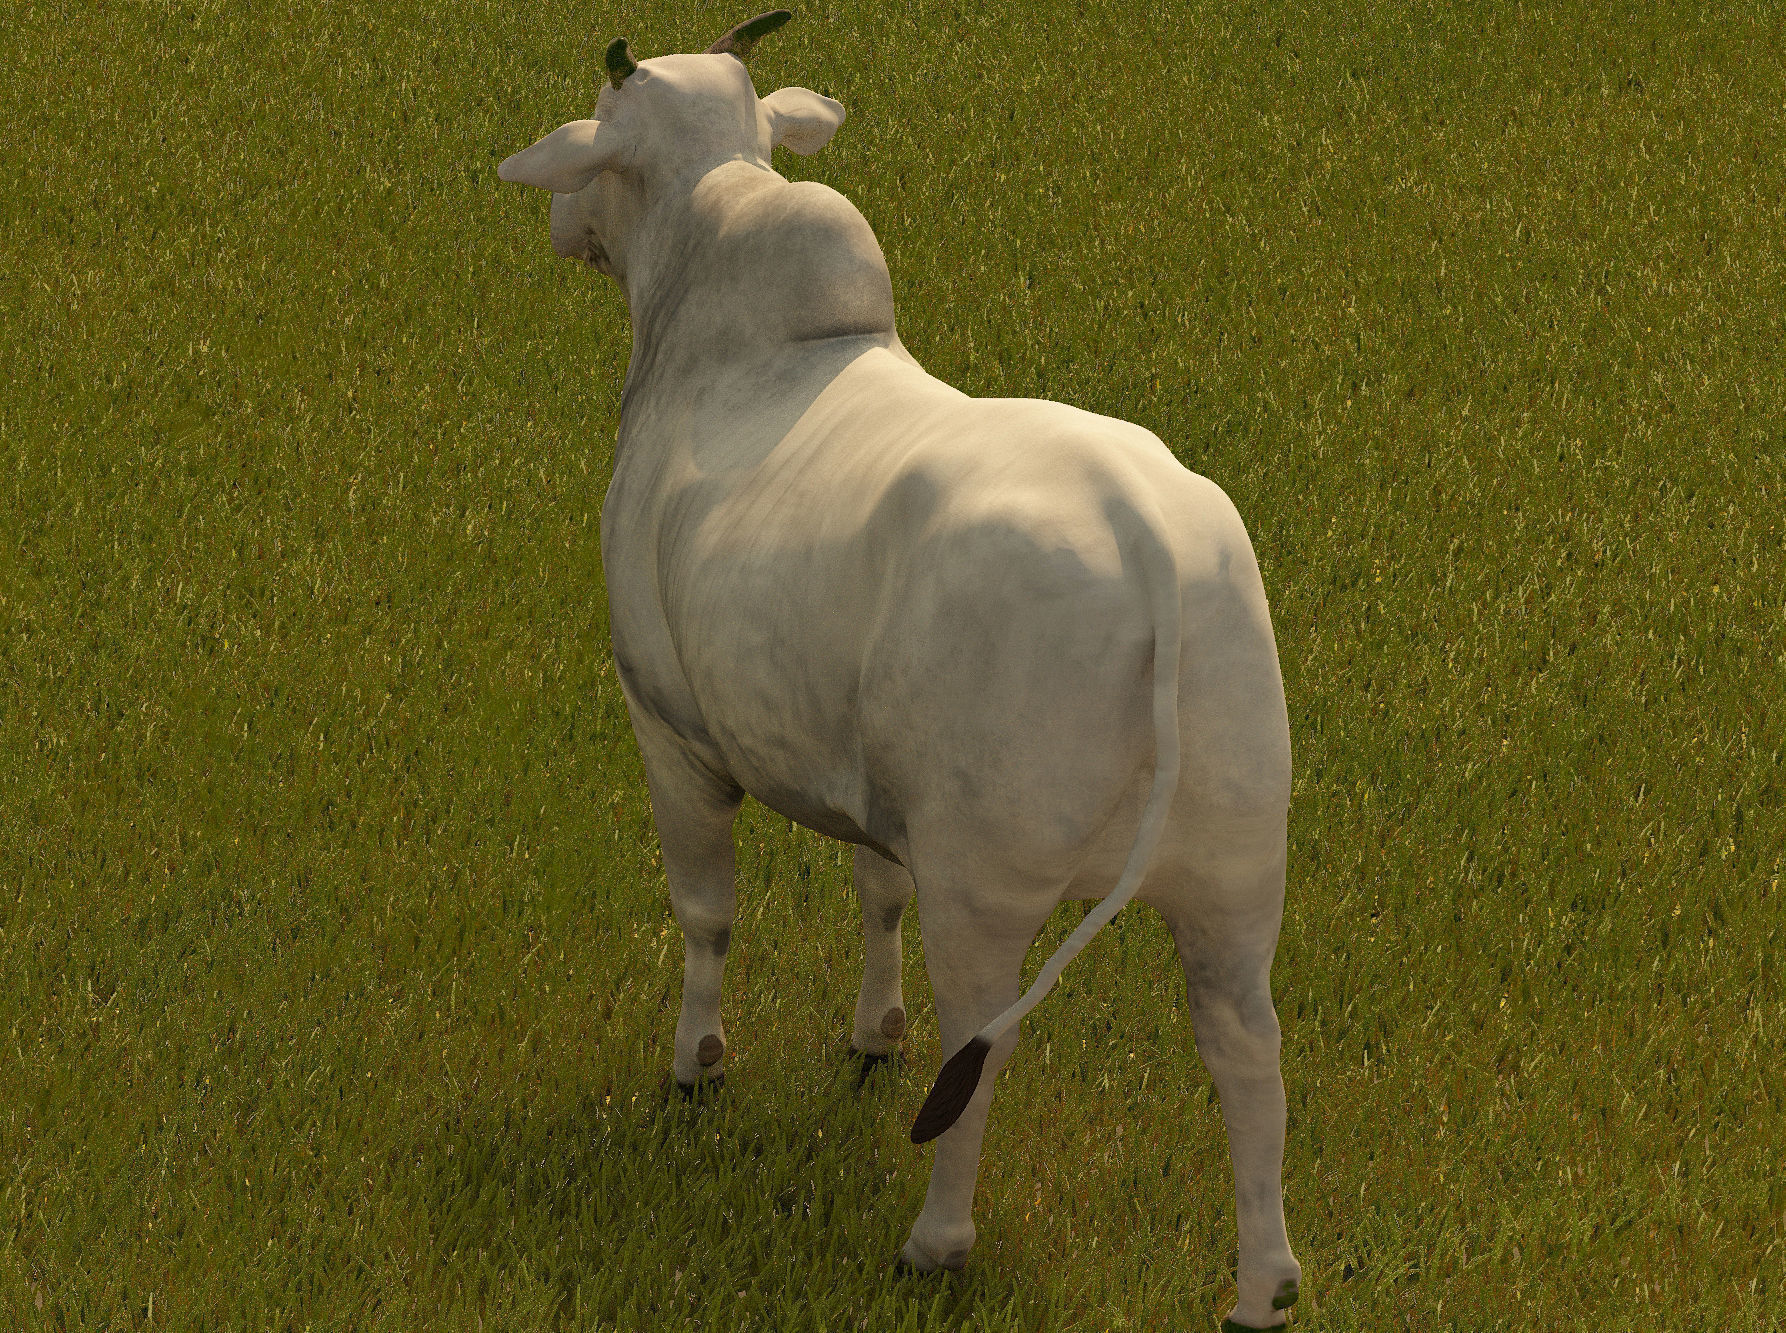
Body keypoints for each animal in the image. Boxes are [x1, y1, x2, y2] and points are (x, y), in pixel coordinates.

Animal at [498, 11, 1302, 1328]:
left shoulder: (667, 725)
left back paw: (937, 1238)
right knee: (1244, 1043)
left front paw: (697, 1063)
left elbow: (706, 912)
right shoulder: (864, 778)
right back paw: (1263, 1284)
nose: (564, 228)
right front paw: (870, 1033)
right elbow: (874, 888)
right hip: (1237, 866)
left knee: (983, 1043)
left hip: (987, 880)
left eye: (598, 139)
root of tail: (1146, 536)